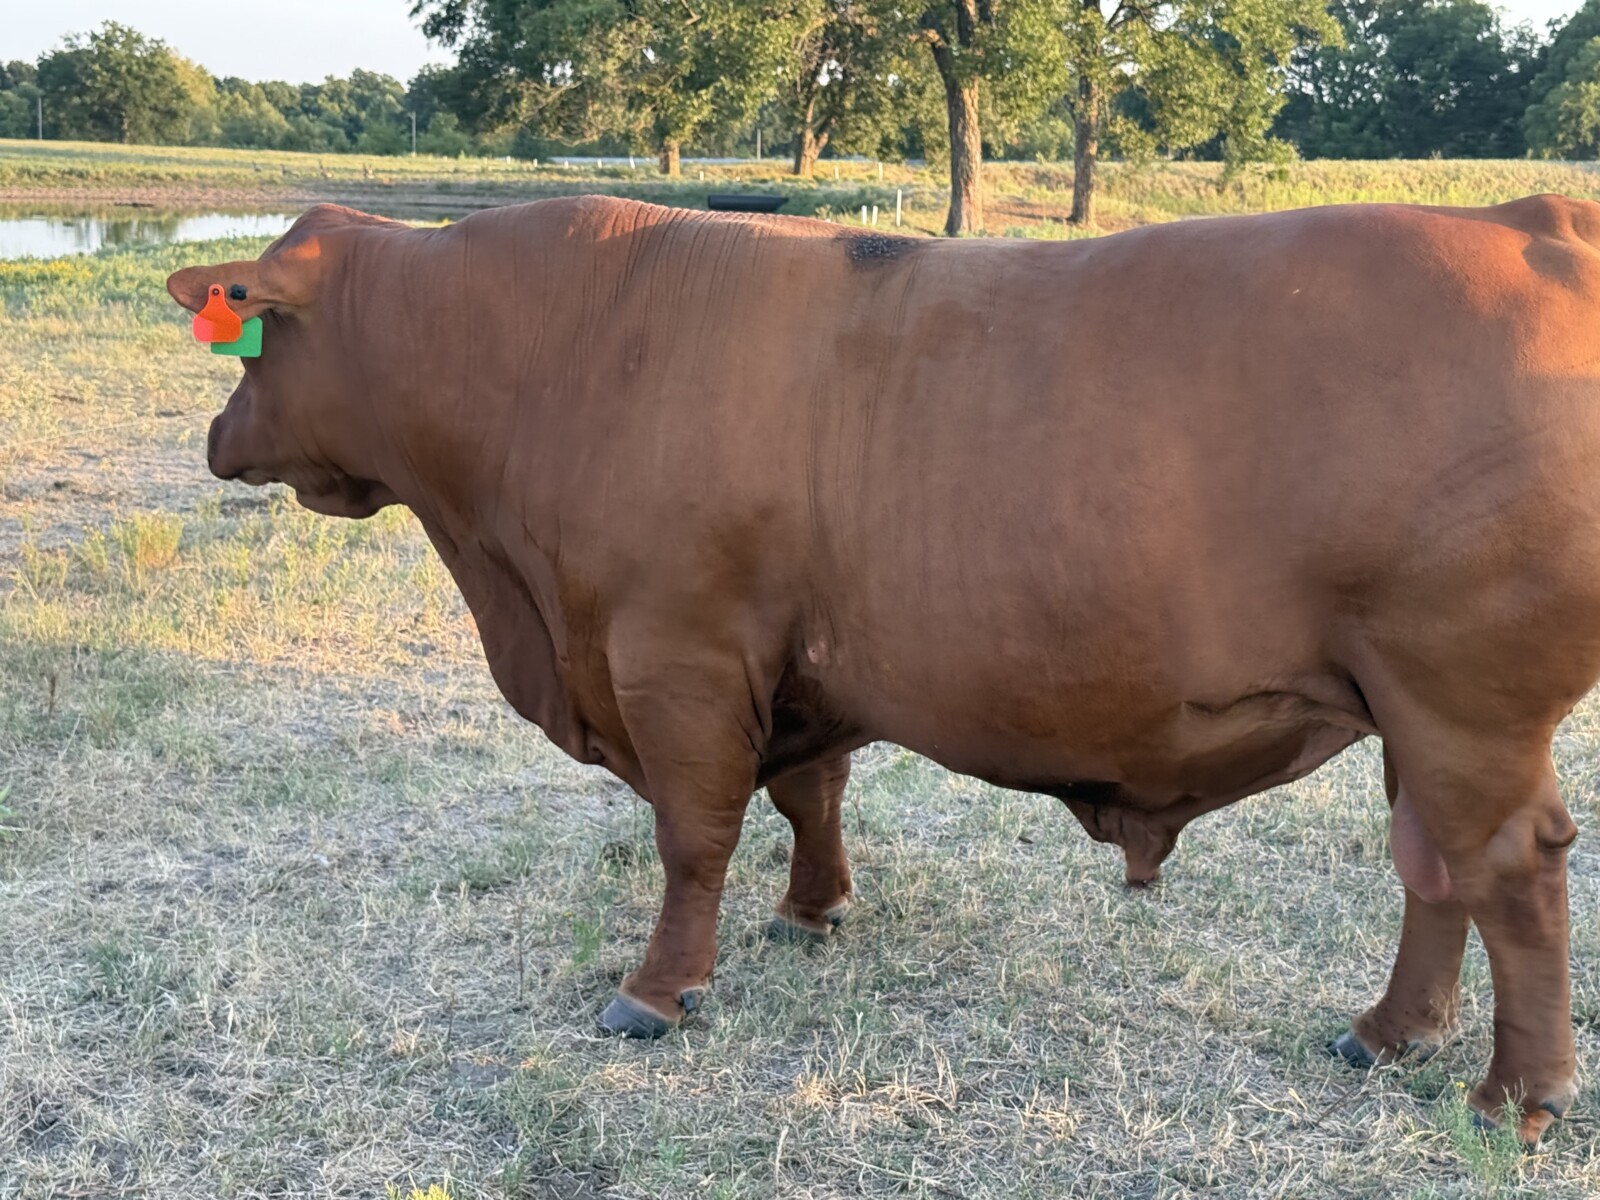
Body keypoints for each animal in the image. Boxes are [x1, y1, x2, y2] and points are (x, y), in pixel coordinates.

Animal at [168, 194, 1600, 1145]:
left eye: (252, 337)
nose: (216, 436)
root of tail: (1526, 216)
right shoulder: (805, 668)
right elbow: (811, 795)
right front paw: (813, 912)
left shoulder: (675, 656)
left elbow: (692, 835)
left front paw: (657, 992)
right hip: (1409, 711)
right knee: (1432, 869)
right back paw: (1388, 1033)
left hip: (1460, 701)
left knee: (1507, 871)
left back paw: (1515, 1097)